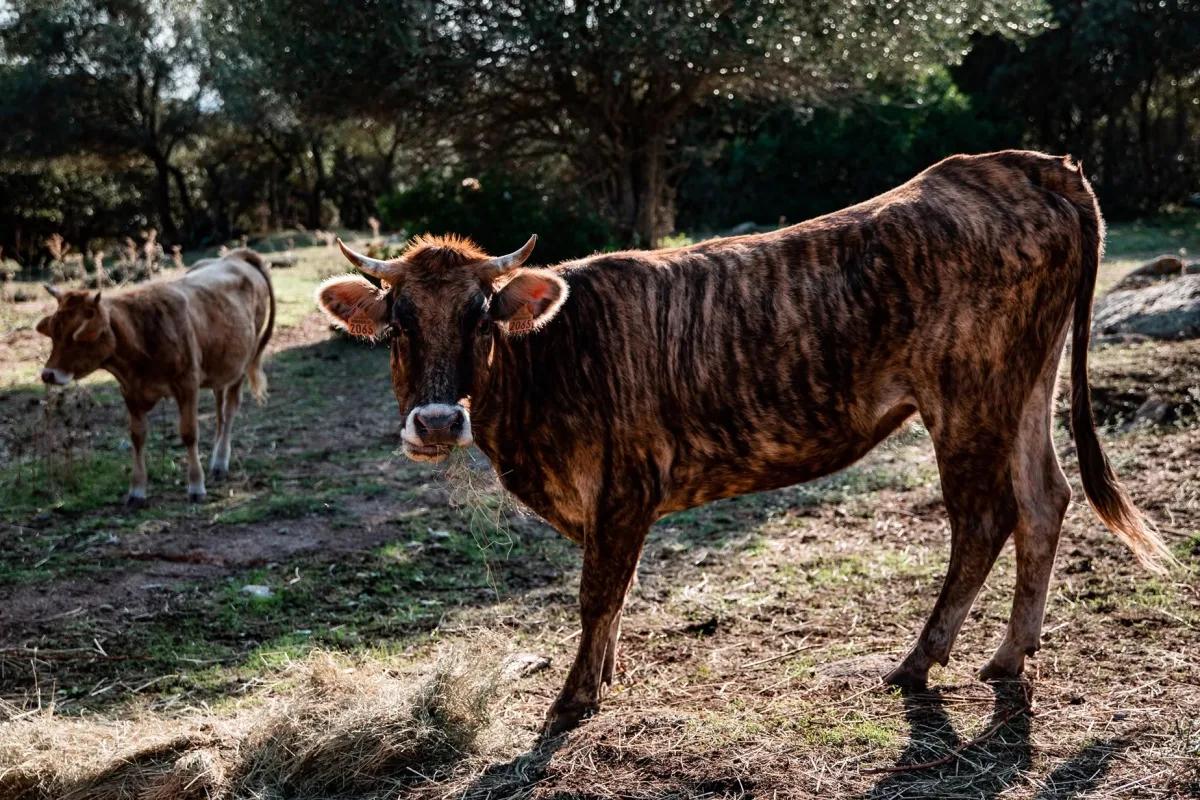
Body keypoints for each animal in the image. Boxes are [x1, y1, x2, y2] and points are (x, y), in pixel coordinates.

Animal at [37, 249, 275, 506]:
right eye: (54, 333)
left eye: (78, 336)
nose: (48, 374)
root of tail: (234, 257)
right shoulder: (130, 391)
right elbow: (137, 436)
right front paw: (137, 490)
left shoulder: (187, 384)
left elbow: (189, 433)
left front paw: (196, 486)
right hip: (221, 362)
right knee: (220, 407)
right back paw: (217, 461)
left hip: (243, 362)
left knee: (230, 409)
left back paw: (221, 461)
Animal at [315, 151, 1176, 735]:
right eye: (398, 322)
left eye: (481, 319)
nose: (436, 423)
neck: (555, 357)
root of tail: (1018, 165)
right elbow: (616, 590)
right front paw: (606, 674)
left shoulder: (626, 483)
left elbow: (597, 591)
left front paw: (573, 697)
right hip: (1026, 382)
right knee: (1044, 500)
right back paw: (1008, 656)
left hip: (968, 394)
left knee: (982, 520)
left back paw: (916, 662)